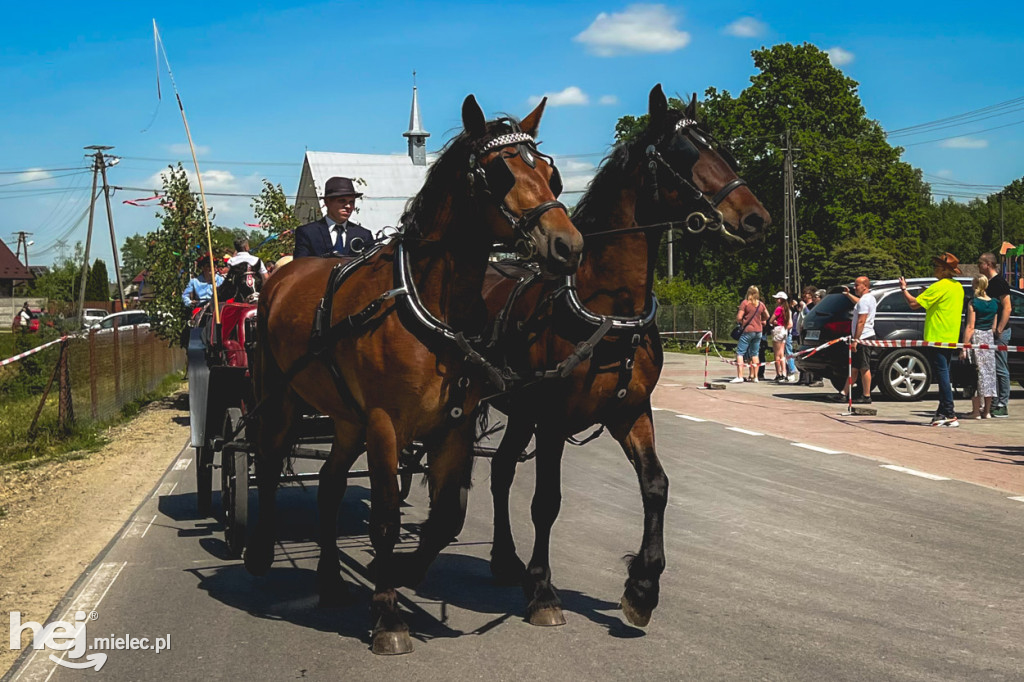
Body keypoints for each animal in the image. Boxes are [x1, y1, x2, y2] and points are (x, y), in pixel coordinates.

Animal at [241, 93, 585, 651]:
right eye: (499, 174)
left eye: (552, 175)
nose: (568, 247)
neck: (429, 299)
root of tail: (283, 275)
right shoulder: (385, 424)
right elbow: (384, 516)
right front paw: (387, 614)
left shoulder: (453, 424)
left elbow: (446, 516)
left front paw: (404, 574)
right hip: (282, 398)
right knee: (269, 462)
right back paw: (259, 553)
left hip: (346, 419)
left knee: (331, 486)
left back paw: (331, 581)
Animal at [483, 84, 770, 626]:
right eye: (686, 155)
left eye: (723, 149)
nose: (757, 218)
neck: (609, 311)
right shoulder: (552, 418)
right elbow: (546, 501)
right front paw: (543, 590)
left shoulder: (630, 410)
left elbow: (655, 485)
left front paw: (643, 586)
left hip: (520, 412)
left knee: (501, 468)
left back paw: (504, 560)